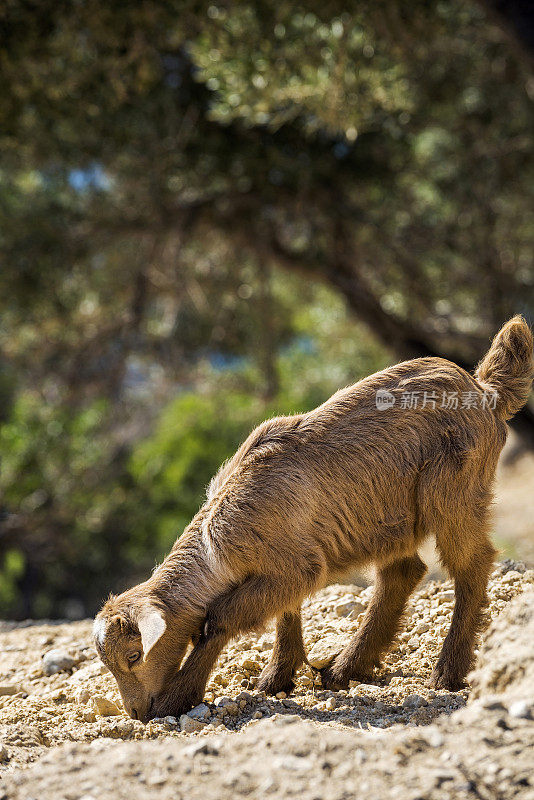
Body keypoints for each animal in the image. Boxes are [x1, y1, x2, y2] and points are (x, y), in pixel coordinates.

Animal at [94, 316, 532, 720]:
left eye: (133, 655)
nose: (136, 711)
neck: (217, 539)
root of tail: (485, 392)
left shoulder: (290, 565)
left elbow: (217, 619)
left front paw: (179, 697)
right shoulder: (291, 564)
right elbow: (286, 611)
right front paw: (276, 678)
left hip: (453, 490)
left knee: (471, 563)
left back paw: (446, 672)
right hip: (388, 516)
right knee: (403, 572)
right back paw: (345, 668)